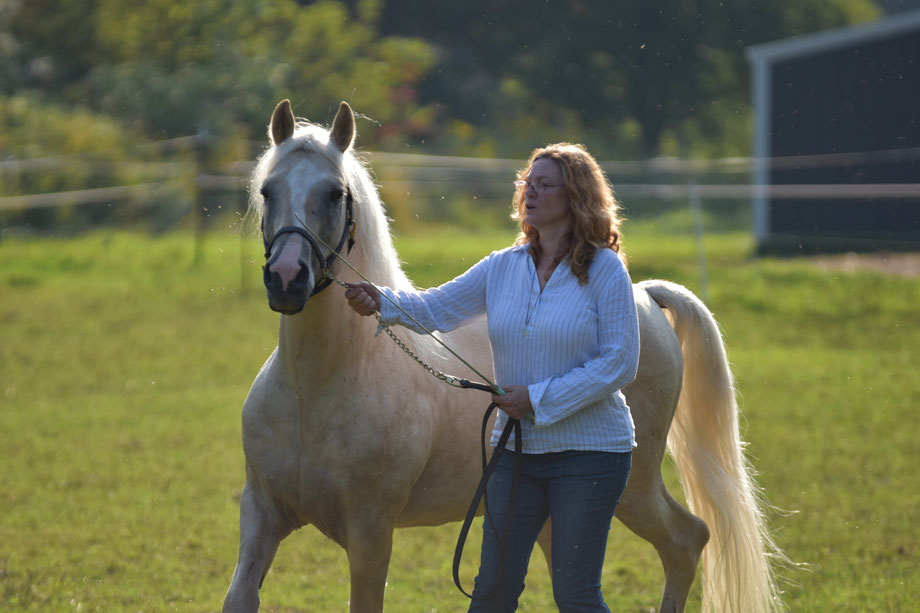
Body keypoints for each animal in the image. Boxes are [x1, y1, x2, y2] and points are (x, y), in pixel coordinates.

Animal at [221, 99, 785, 613]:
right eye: (268, 190)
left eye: (335, 194)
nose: (287, 279)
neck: (314, 391)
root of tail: (644, 295)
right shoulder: (261, 516)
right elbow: (240, 595)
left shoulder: (370, 535)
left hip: (633, 489)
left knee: (687, 541)